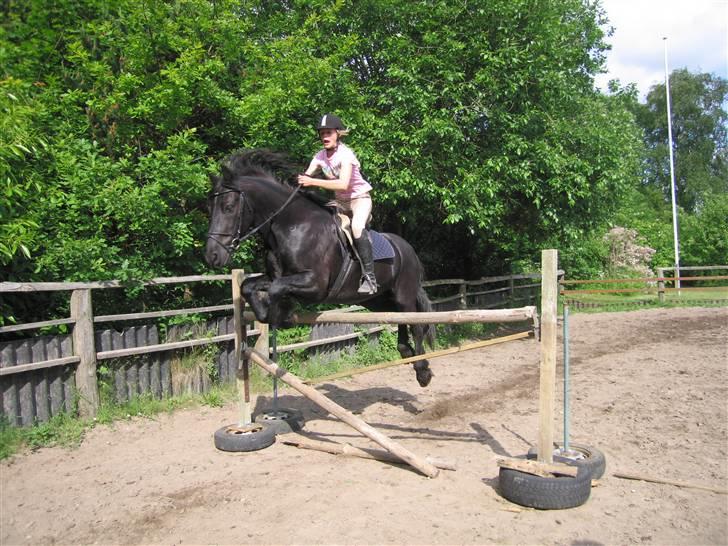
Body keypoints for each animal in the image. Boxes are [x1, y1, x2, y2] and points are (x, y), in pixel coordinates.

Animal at [202, 149, 436, 386]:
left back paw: (422, 371)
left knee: (416, 324)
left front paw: (281, 314)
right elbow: (249, 286)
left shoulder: (315, 285)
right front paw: (275, 313)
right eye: (209, 208)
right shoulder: (277, 276)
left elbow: (277, 289)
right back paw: (406, 351)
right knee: (399, 319)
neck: (291, 225)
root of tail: (407, 249)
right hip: (378, 301)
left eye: (229, 208)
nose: (212, 256)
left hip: (403, 294)